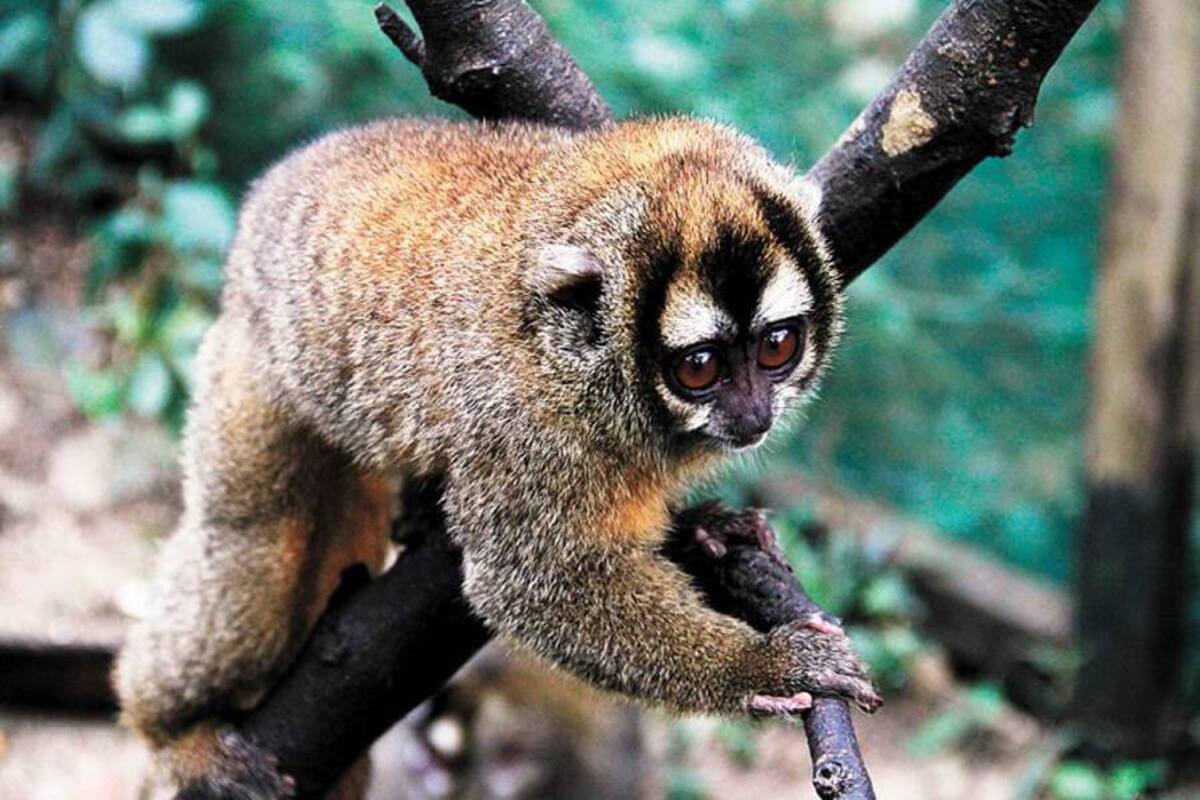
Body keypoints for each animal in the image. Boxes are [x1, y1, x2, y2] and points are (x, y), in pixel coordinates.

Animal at [113, 116, 880, 798]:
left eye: (777, 347)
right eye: (699, 367)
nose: (752, 416)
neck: (579, 360)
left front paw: (706, 529)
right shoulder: (528, 427)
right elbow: (534, 583)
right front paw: (762, 666)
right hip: (250, 360)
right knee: (257, 537)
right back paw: (170, 734)